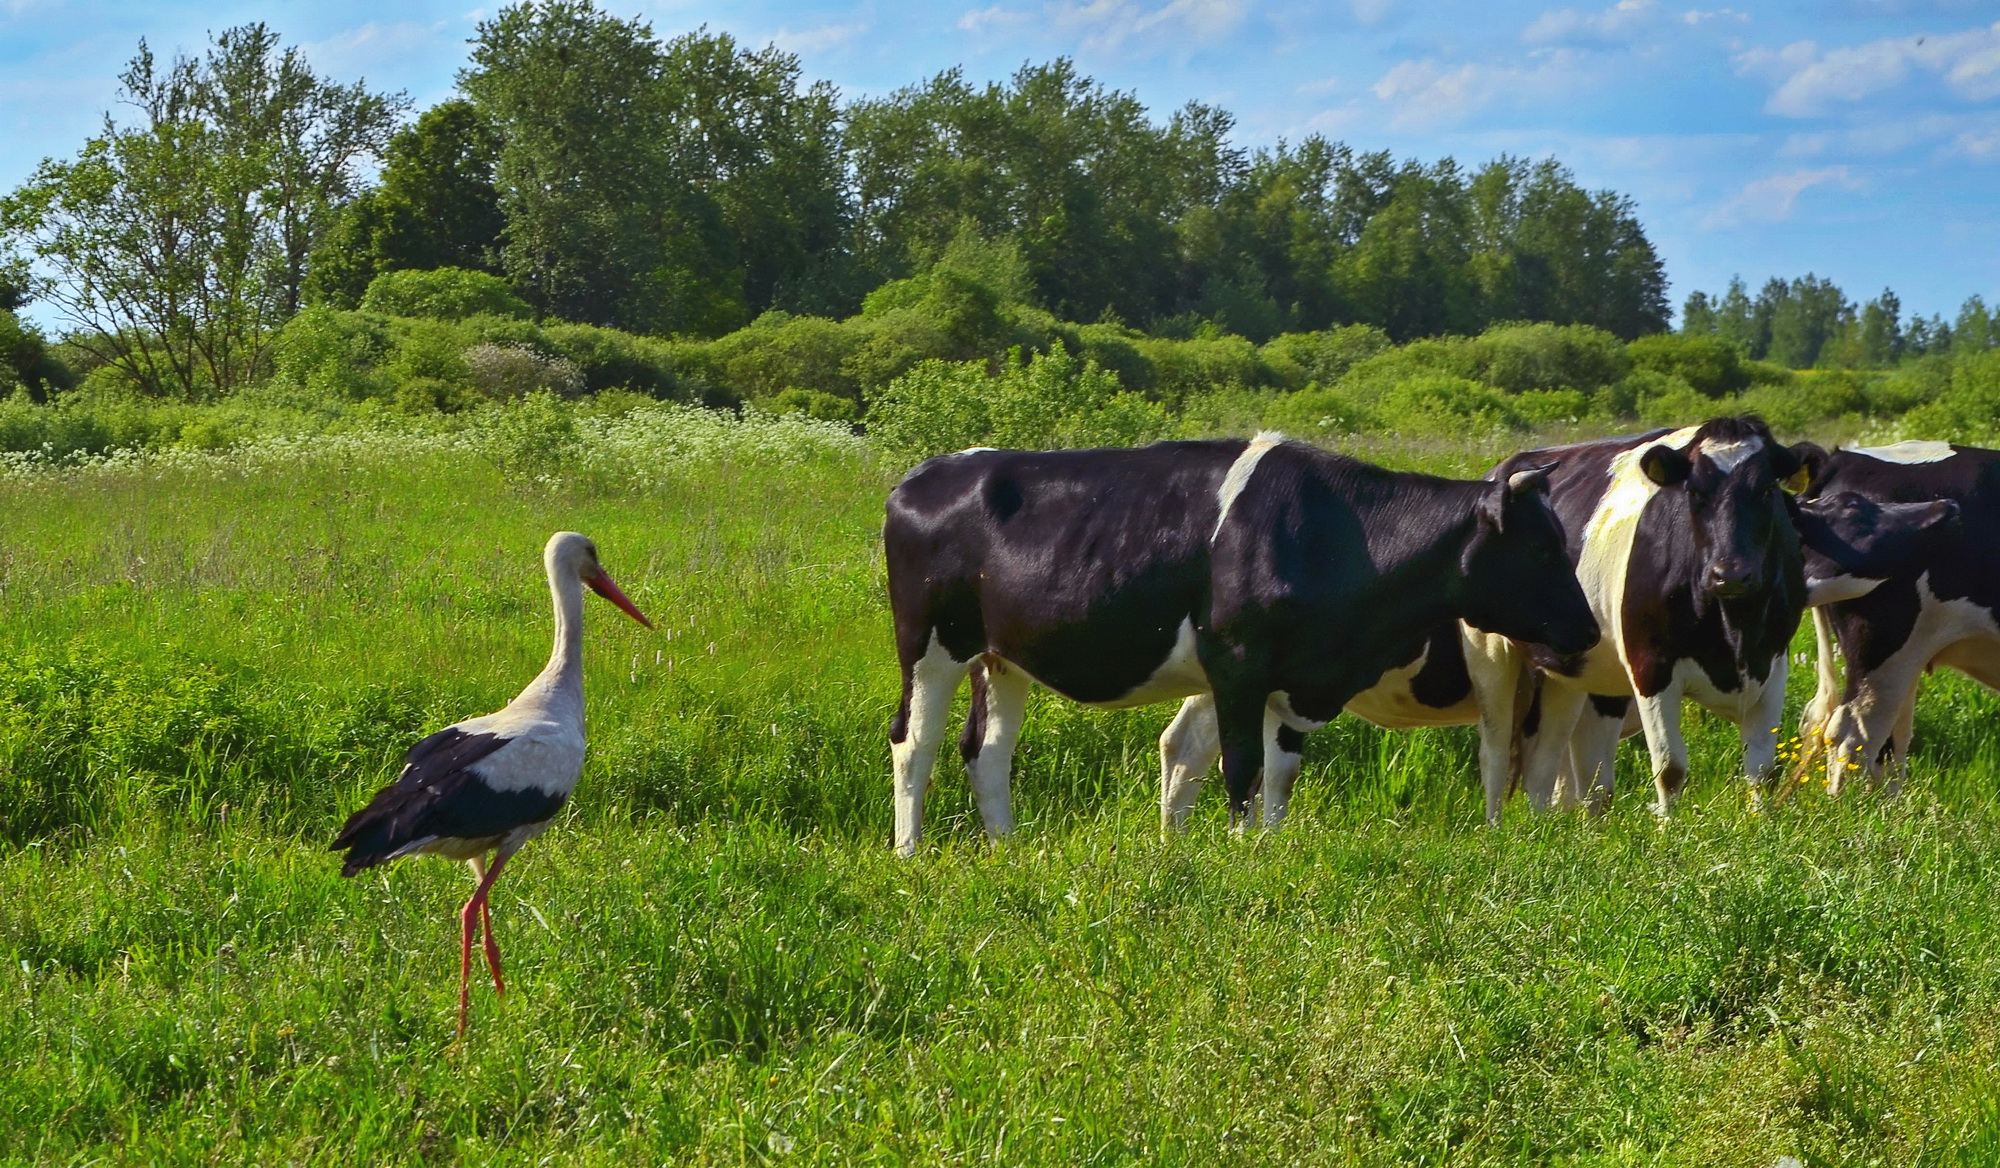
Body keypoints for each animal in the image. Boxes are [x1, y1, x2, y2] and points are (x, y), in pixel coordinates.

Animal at [884, 434, 1600, 852]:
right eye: (1542, 548)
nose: (1592, 631)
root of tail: (922, 475)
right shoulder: (1236, 663)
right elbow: (1242, 766)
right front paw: (1237, 853)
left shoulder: (1296, 677)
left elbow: (1279, 771)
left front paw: (1267, 850)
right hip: (929, 645)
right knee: (913, 743)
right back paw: (909, 853)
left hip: (999, 656)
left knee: (987, 749)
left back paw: (1006, 851)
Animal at [1496, 418, 1824, 812]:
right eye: (1694, 493)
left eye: (1766, 491)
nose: (1730, 574)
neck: (1734, 630)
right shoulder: (1651, 665)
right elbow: (1670, 768)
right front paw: (1669, 826)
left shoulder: (1772, 663)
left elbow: (1762, 768)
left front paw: (1759, 820)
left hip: (1579, 675)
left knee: (1575, 771)